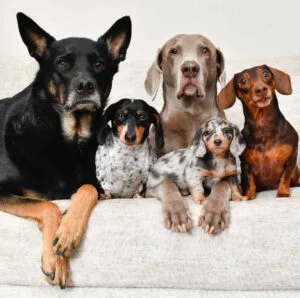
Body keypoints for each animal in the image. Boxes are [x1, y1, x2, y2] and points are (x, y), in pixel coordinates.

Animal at [0, 12, 131, 288]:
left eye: (99, 64)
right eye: (62, 64)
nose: (85, 86)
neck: (69, 139)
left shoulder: (101, 188)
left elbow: (87, 189)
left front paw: (68, 232)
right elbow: (49, 206)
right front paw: (53, 259)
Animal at [218, 66, 300, 199]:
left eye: (266, 74)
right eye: (243, 80)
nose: (261, 89)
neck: (263, 127)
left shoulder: (291, 157)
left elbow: (285, 177)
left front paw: (283, 193)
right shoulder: (245, 164)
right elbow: (250, 182)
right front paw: (248, 196)